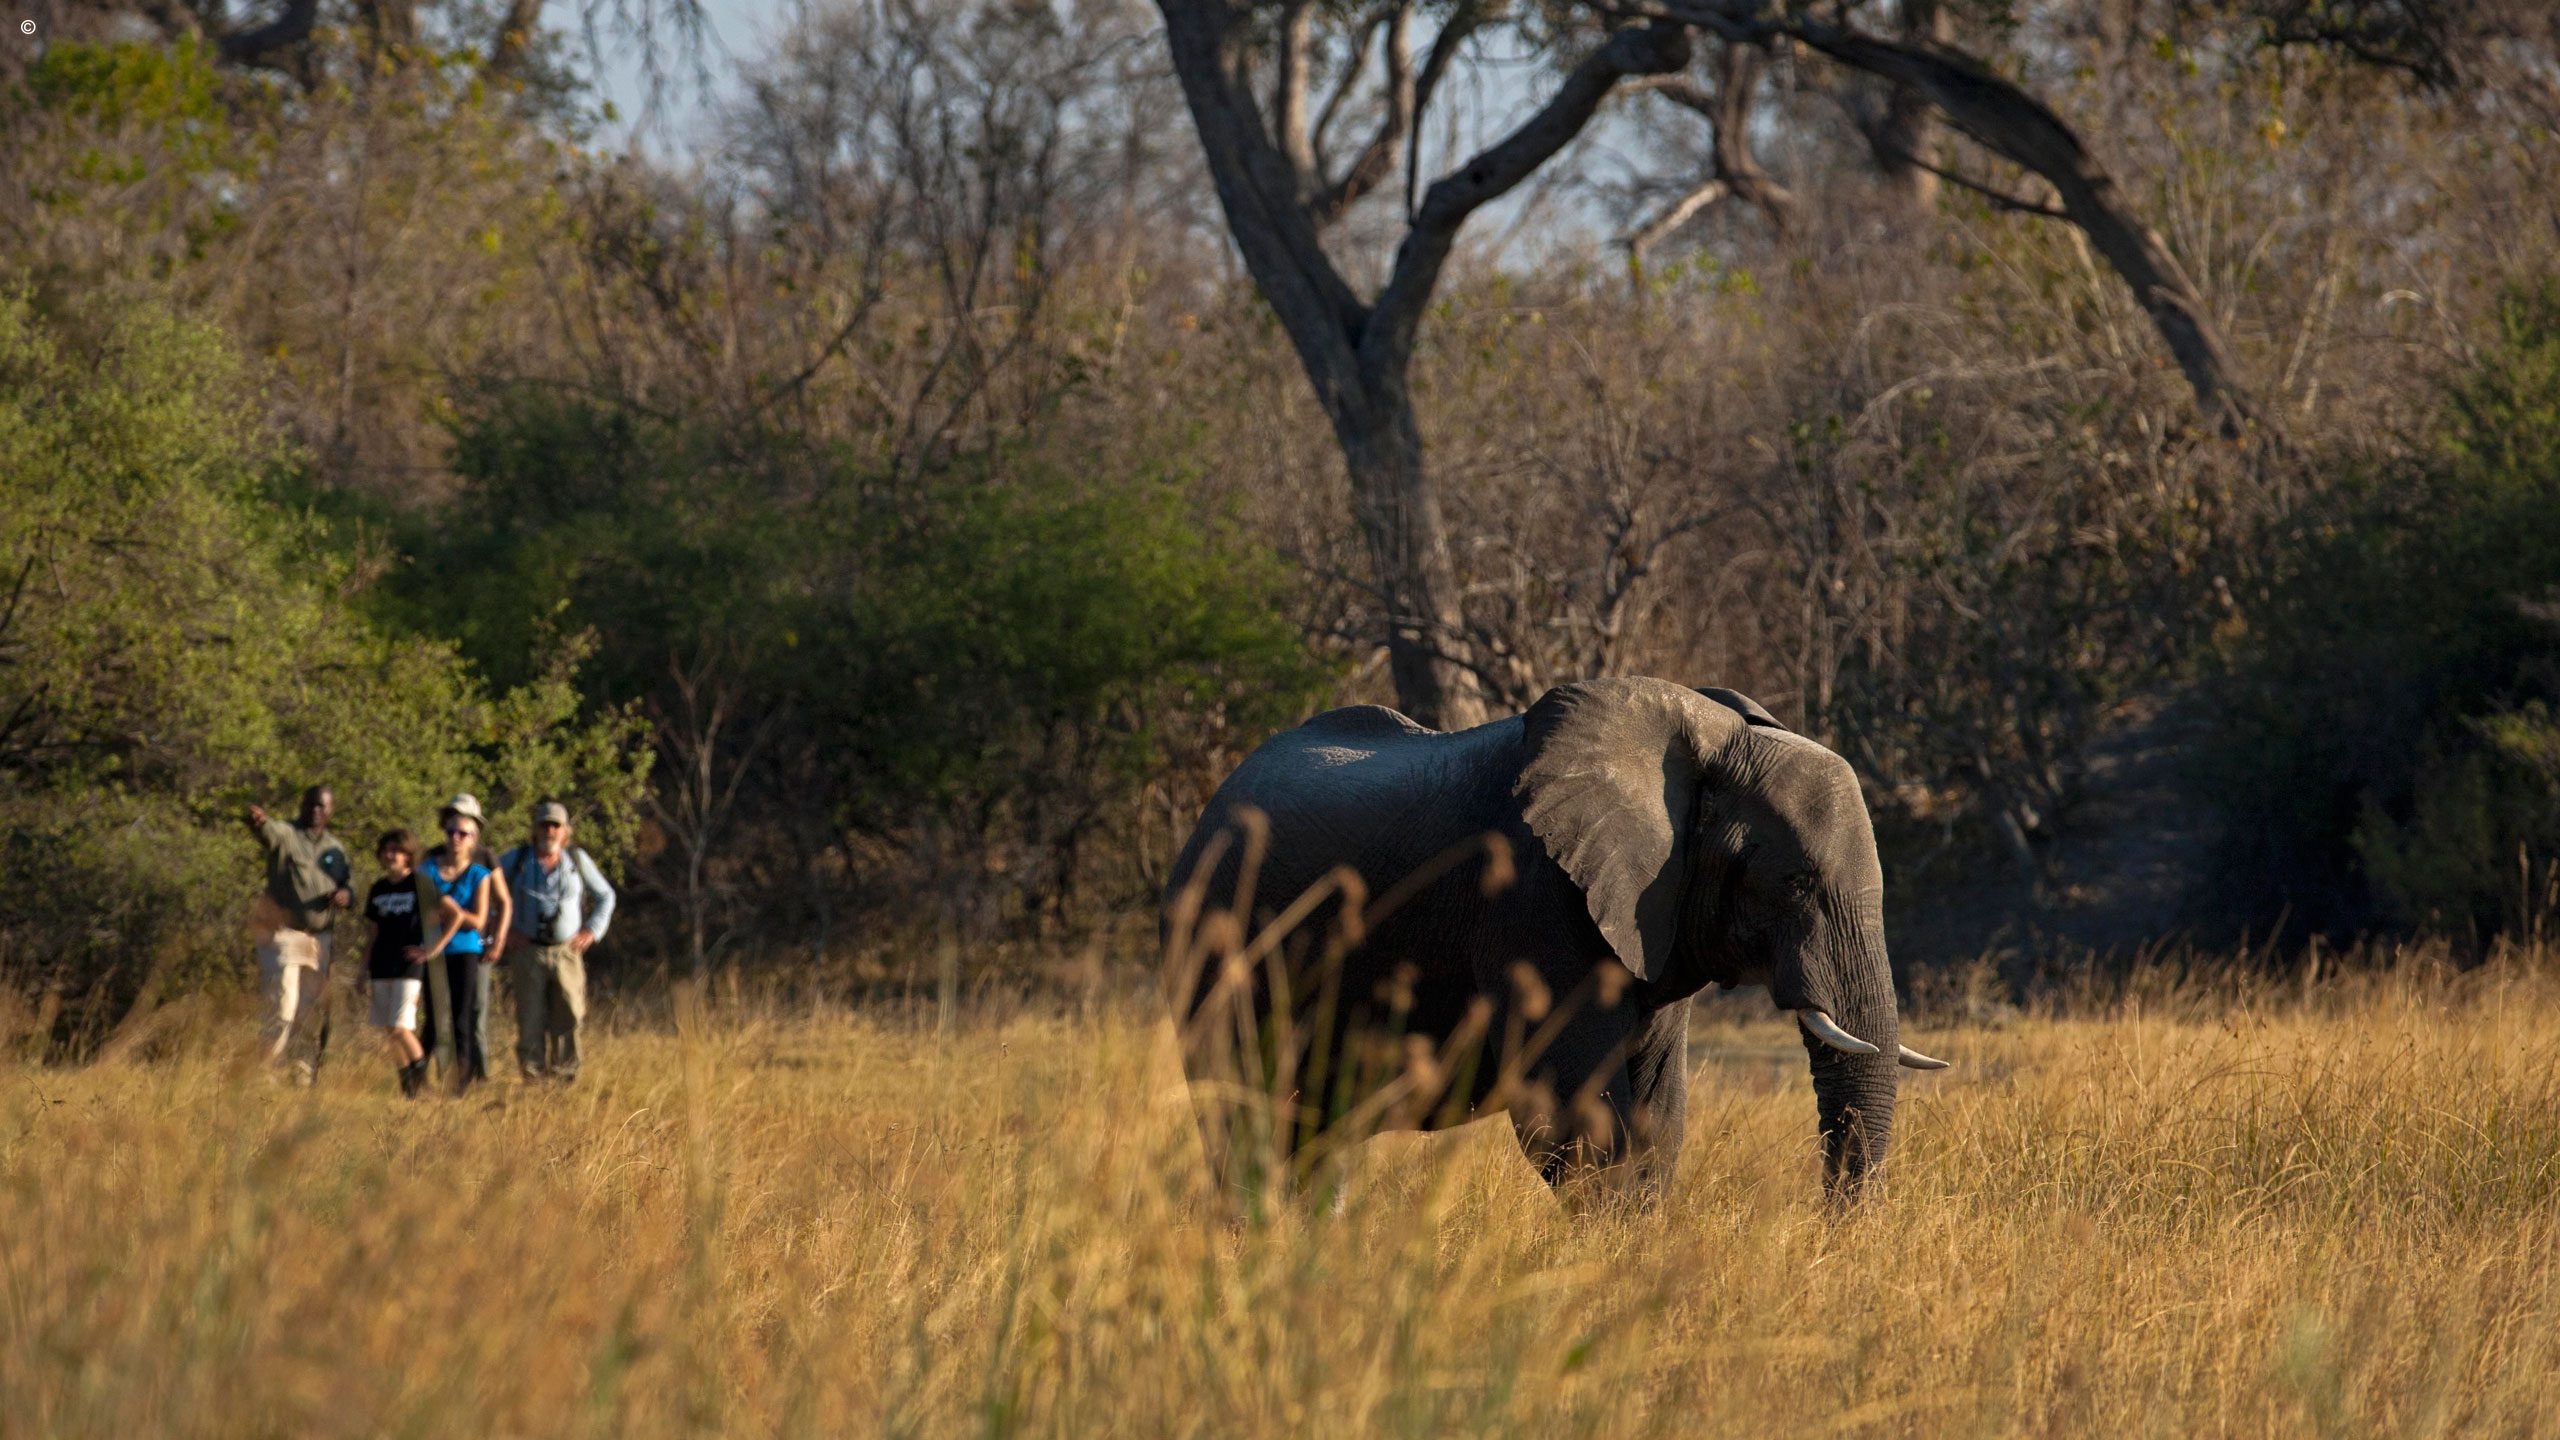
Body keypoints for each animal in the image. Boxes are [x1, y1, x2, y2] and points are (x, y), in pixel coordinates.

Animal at [1160, 675, 1945, 1205]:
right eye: (1795, 883)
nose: (1833, 1232)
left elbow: (1657, 1119)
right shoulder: (1533, 901)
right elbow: (1580, 1123)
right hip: (1214, 952)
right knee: (1250, 1126)